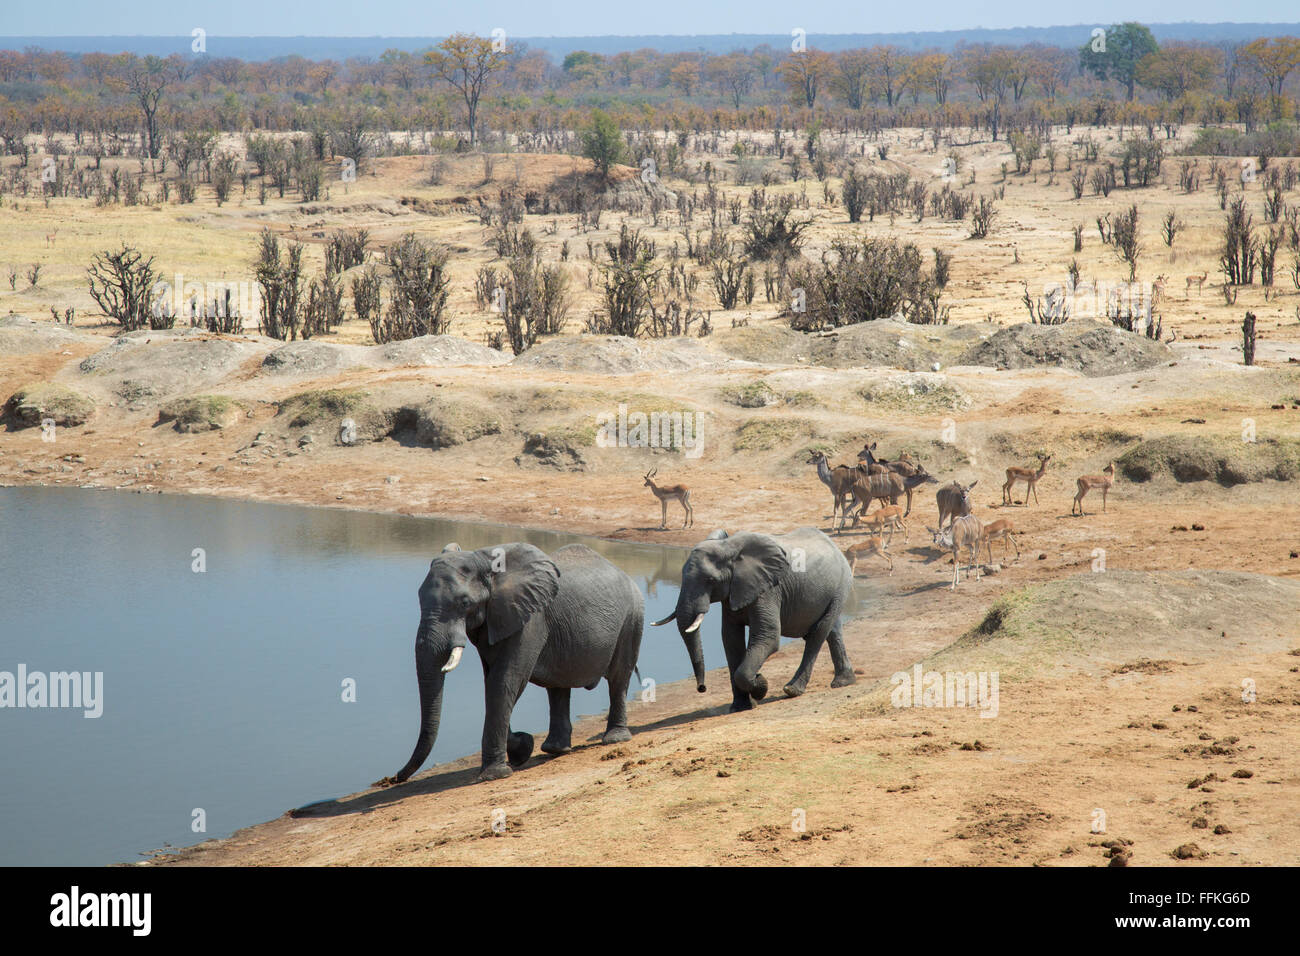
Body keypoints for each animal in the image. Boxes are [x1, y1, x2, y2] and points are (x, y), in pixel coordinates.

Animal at [382, 541, 643, 785]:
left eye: (464, 603)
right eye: (418, 598)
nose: (395, 778)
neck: (485, 561)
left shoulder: (531, 618)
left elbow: (506, 680)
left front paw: (494, 775)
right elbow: (492, 683)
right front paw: (522, 748)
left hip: (632, 618)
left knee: (618, 678)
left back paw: (615, 739)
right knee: (558, 687)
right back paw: (555, 749)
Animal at [653, 527, 856, 713]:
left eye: (710, 580)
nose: (701, 688)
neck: (729, 547)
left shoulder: (768, 589)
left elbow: (767, 637)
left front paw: (760, 685)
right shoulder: (734, 591)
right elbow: (730, 639)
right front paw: (740, 707)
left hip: (841, 585)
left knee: (818, 634)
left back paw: (792, 690)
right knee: (833, 632)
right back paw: (843, 682)